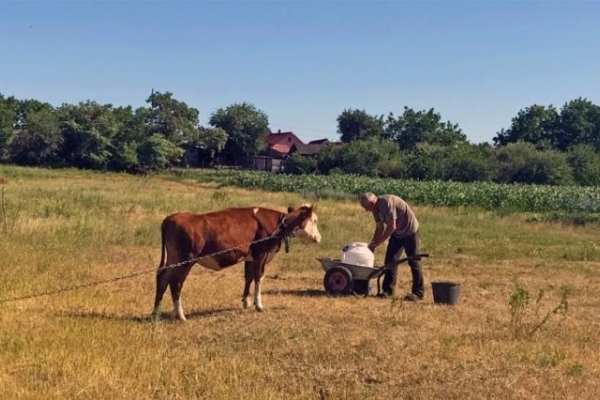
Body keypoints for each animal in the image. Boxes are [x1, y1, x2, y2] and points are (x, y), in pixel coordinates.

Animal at [152, 205, 322, 320]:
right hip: (186, 260)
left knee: (162, 278)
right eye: (314, 220)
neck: (279, 224)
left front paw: (246, 302)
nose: (319, 238)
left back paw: (156, 312)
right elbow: (259, 278)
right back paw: (180, 315)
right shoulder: (262, 254)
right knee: (176, 282)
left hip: (173, 258)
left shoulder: (250, 256)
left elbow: (248, 277)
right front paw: (259, 305)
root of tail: (172, 218)